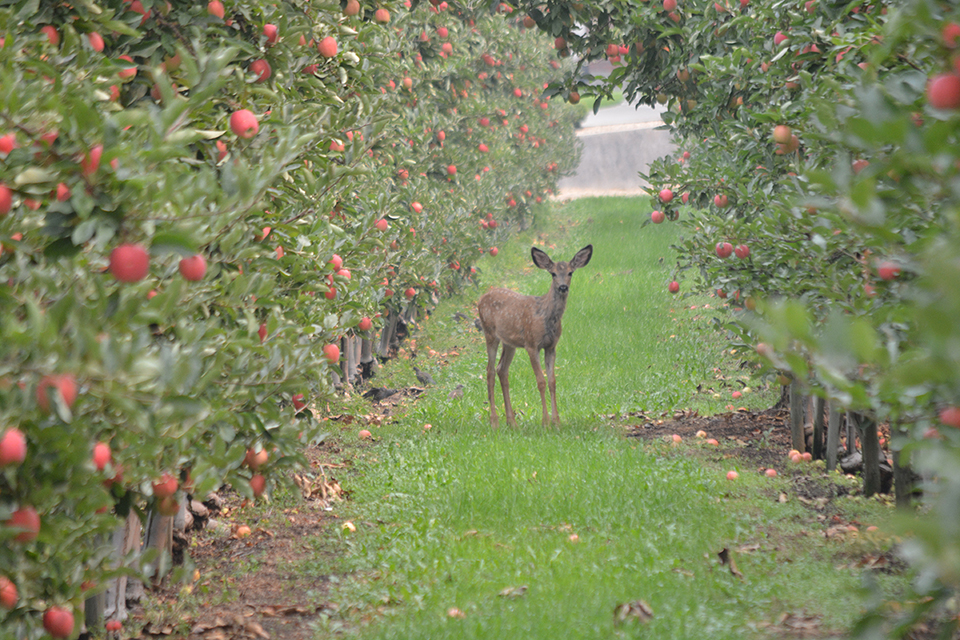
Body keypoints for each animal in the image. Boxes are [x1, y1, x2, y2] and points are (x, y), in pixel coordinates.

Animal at [477, 244, 593, 428]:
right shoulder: (531, 344)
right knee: (490, 371)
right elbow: (541, 381)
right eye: (553, 273)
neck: (547, 317)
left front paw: (557, 422)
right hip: (489, 333)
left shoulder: (551, 346)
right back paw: (494, 422)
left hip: (509, 343)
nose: (562, 287)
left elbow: (552, 382)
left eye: (570, 272)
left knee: (502, 369)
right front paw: (545, 422)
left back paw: (512, 422)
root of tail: (480, 299)